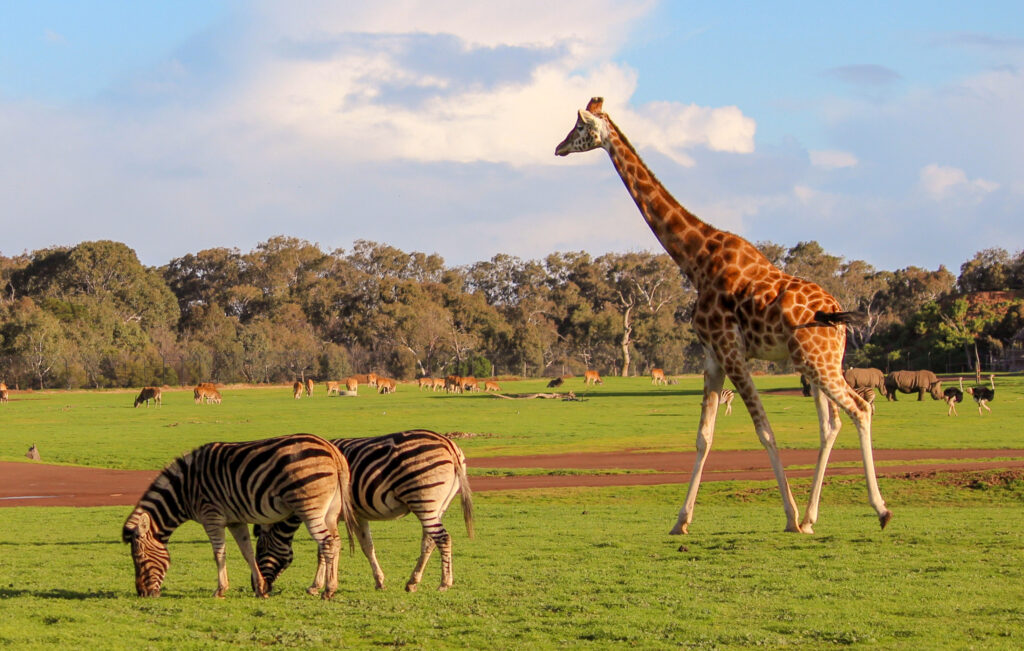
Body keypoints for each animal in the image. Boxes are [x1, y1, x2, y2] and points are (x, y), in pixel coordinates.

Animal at [123, 431, 358, 601]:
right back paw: (328, 587)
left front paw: (220, 590)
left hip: (310, 508)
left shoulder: (211, 516)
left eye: (139, 558)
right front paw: (260, 588)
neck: (185, 489)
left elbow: (219, 553)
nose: (142, 594)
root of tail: (332, 450)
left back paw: (328, 590)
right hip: (330, 511)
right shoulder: (236, 520)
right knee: (336, 542)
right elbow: (247, 552)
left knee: (327, 543)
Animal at [253, 429, 473, 593]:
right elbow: (367, 547)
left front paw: (315, 586)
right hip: (437, 505)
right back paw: (412, 582)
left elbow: (323, 549)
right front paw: (379, 581)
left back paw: (444, 583)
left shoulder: (327, 514)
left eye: (260, 550)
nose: (258, 588)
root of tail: (449, 444)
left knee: (443, 538)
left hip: (424, 500)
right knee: (429, 541)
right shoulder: (358, 516)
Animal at [557, 97, 892, 532]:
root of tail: (835, 313)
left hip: (817, 363)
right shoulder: (713, 355)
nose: (558, 148)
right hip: (818, 362)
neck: (696, 260)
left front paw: (788, 515)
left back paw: (878, 510)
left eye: (579, 127)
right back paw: (813, 517)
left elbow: (764, 430)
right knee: (831, 423)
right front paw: (681, 521)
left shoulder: (731, 351)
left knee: (860, 409)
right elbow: (704, 435)